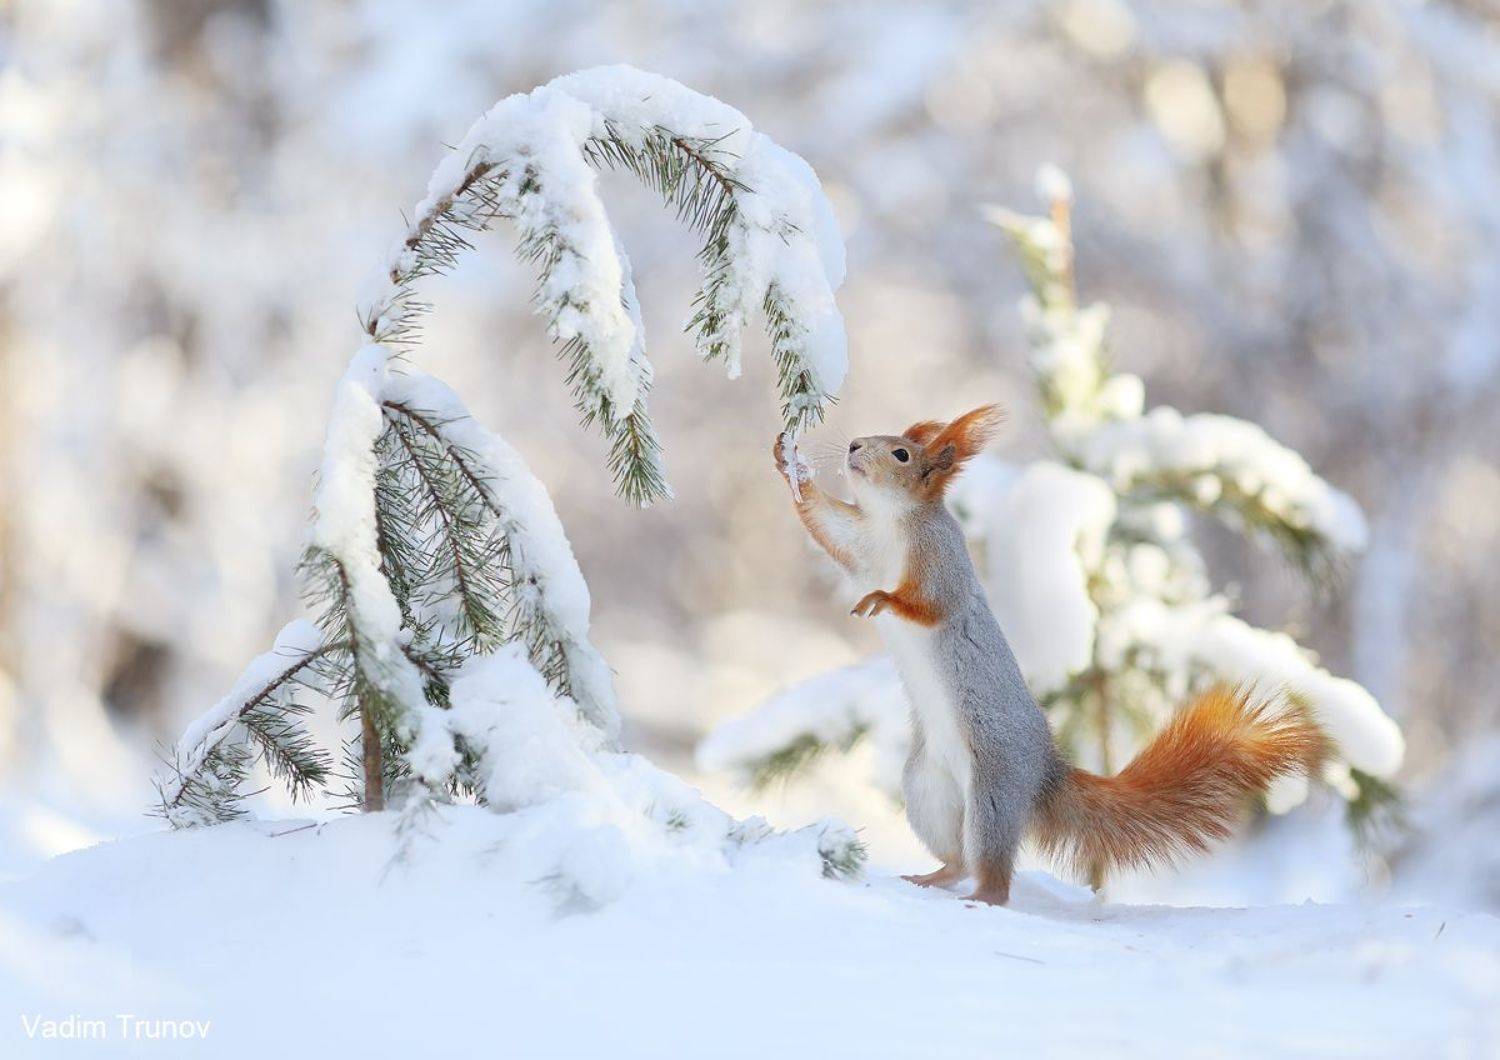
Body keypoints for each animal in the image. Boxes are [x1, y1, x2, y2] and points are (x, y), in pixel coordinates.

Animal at [773, 405, 1330, 905]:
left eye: (902, 453)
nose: (852, 446)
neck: (891, 522)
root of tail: (1044, 769)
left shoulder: (940, 563)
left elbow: (931, 607)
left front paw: (884, 601)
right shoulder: (859, 544)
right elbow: (826, 528)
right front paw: (786, 459)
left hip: (994, 789)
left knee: (994, 872)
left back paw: (981, 899)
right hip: (928, 789)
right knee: (957, 860)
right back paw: (930, 878)